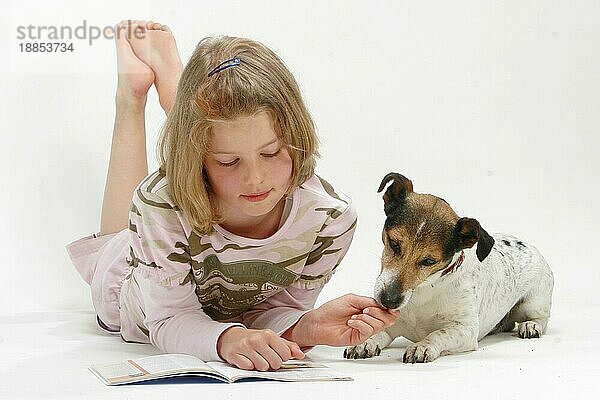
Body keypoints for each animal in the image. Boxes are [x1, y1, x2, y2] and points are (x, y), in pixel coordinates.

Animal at [344, 172, 556, 362]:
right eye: (394, 244)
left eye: (429, 261)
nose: (389, 301)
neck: (423, 292)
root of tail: (529, 244)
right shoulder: (392, 325)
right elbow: (375, 332)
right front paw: (364, 342)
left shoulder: (465, 330)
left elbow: (438, 333)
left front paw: (422, 346)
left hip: (534, 301)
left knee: (542, 318)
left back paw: (531, 326)